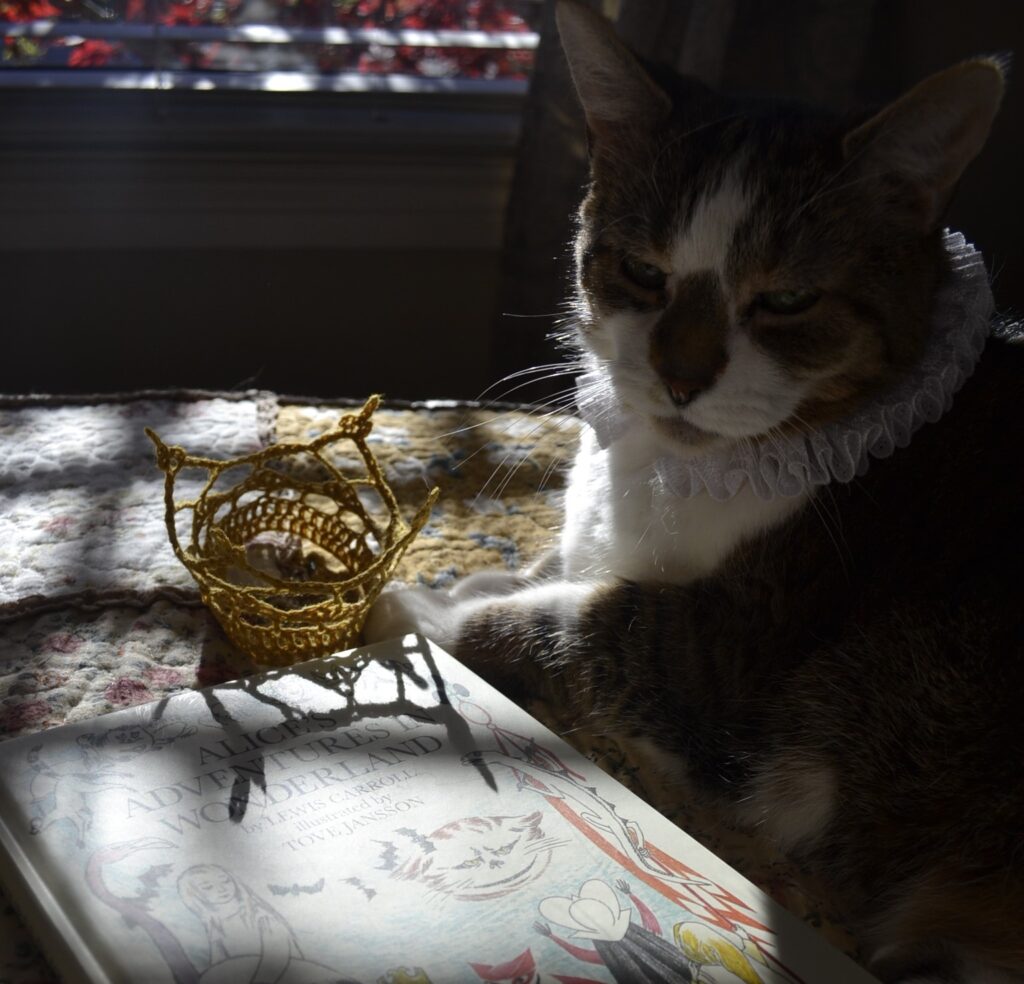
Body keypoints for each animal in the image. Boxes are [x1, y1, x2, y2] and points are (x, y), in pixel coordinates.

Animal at [364, 3, 1019, 978]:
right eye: (642, 270)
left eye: (786, 299)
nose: (679, 378)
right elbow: (551, 574)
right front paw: (487, 574)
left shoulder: (727, 660)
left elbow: (574, 623)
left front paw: (418, 609)